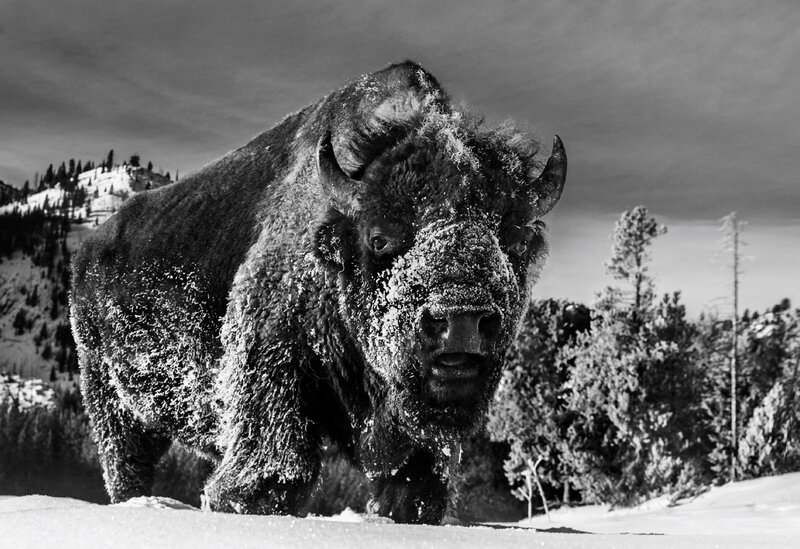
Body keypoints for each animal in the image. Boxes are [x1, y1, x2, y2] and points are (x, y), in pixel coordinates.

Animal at [72, 60, 564, 524]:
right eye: (379, 237)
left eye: (516, 238)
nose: (460, 319)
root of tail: (87, 252)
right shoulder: (272, 365)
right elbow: (273, 476)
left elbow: (415, 491)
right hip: (109, 401)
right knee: (126, 466)